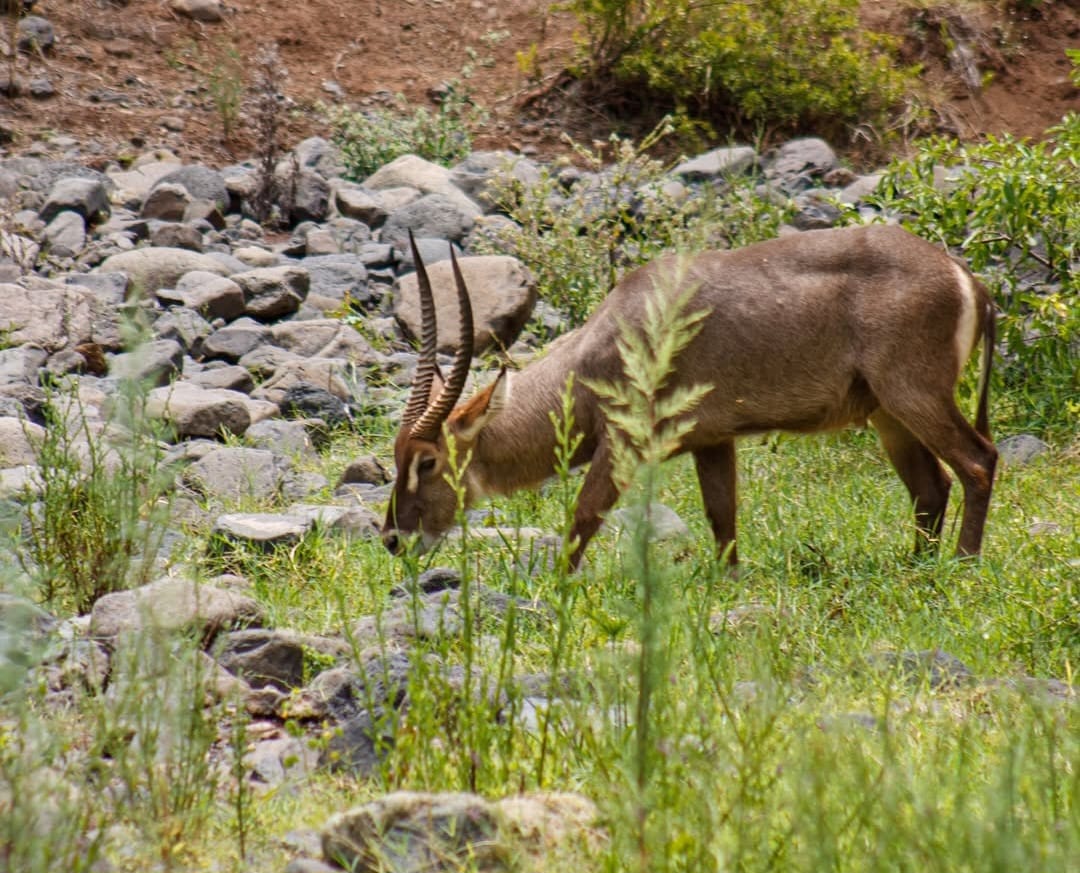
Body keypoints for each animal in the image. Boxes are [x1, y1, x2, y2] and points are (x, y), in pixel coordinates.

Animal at [382, 225, 996, 569]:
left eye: (427, 461)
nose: (392, 538)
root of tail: (965, 276)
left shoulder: (623, 443)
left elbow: (583, 514)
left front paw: (557, 591)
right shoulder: (714, 441)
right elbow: (722, 518)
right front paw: (728, 584)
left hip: (913, 395)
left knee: (977, 462)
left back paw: (961, 567)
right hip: (889, 414)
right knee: (930, 488)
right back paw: (914, 569)